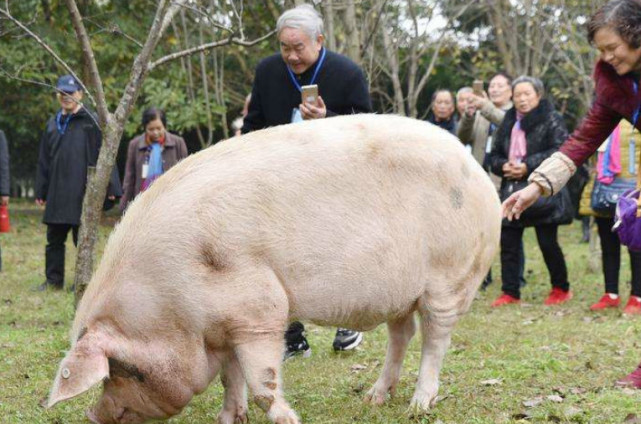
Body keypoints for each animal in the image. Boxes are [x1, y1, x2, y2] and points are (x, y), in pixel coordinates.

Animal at [47, 114, 502, 422]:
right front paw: (228, 419)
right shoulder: (224, 325)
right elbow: (231, 378)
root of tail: (479, 172)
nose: (94, 416)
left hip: (449, 276)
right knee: (401, 335)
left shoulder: (259, 309)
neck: (171, 304)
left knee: (435, 340)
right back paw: (374, 398)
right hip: (400, 292)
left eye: (130, 371)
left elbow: (262, 380)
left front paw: (286, 419)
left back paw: (418, 405)